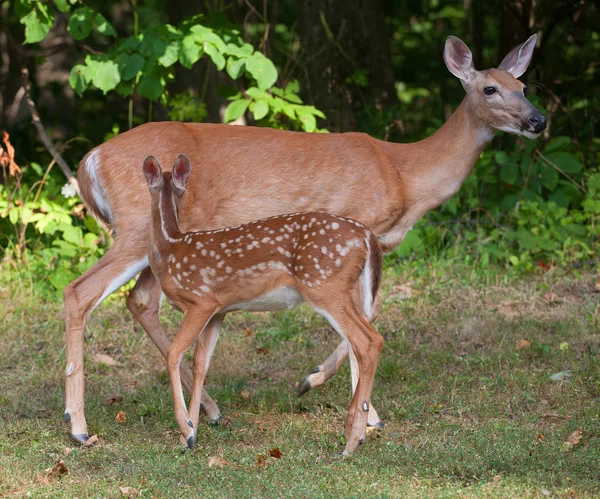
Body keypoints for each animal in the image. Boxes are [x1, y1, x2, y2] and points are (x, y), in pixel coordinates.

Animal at [143, 154, 382, 456]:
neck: (170, 247)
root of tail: (367, 236)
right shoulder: (219, 311)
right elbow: (201, 364)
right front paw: (192, 432)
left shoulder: (201, 300)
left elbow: (173, 354)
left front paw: (186, 431)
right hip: (351, 291)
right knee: (362, 338)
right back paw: (355, 431)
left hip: (325, 286)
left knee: (368, 341)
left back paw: (351, 443)